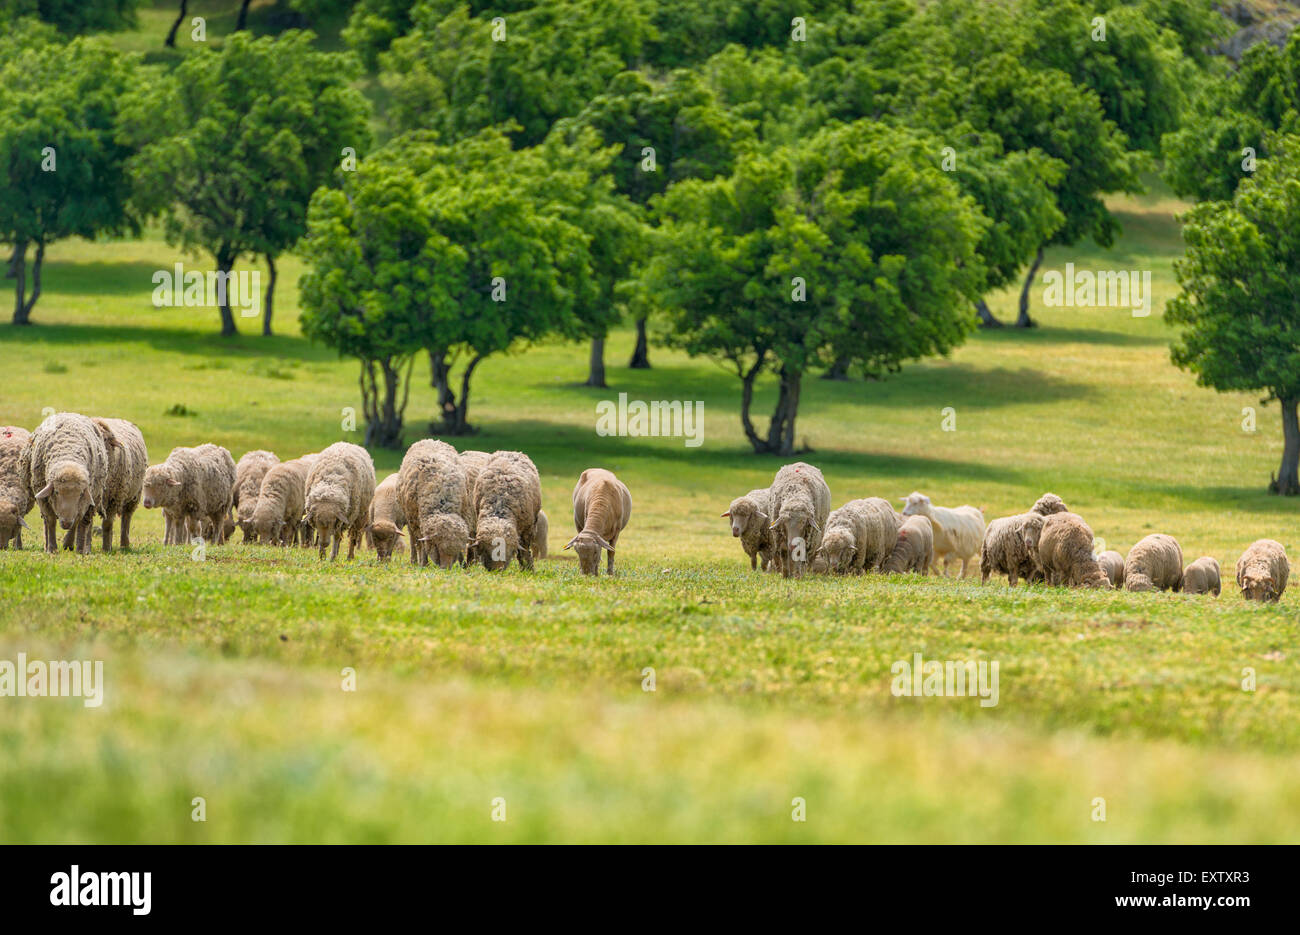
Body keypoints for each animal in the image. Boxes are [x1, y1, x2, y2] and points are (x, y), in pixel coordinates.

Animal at [23, 412, 115, 554]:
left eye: (81, 494)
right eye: (56, 492)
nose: (66, 523)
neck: (68, 455)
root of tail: (70, 413)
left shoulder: (84, 500)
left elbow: (78, 520)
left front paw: (76, 548)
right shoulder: (43, 497)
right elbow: (50, 520)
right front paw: (52, 549)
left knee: (82, 521)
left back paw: (78, 547)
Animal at [92, 418, 147, 552]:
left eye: (104, 439)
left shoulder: (114, 499)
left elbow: (107, 524)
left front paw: (106, 549)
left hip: (134, 496)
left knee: (126, 519)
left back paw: (124, 545)